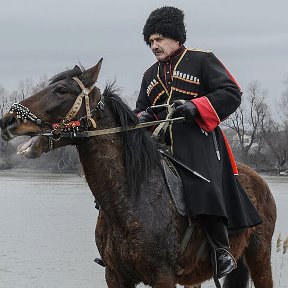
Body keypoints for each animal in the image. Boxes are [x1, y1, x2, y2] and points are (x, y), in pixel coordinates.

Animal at [0, 59, 276, 286]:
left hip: (259, 258)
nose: (7, 120)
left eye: (62, 90)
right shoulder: (115, 275)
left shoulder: (162, 275)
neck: (129, 197)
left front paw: (187, 108)